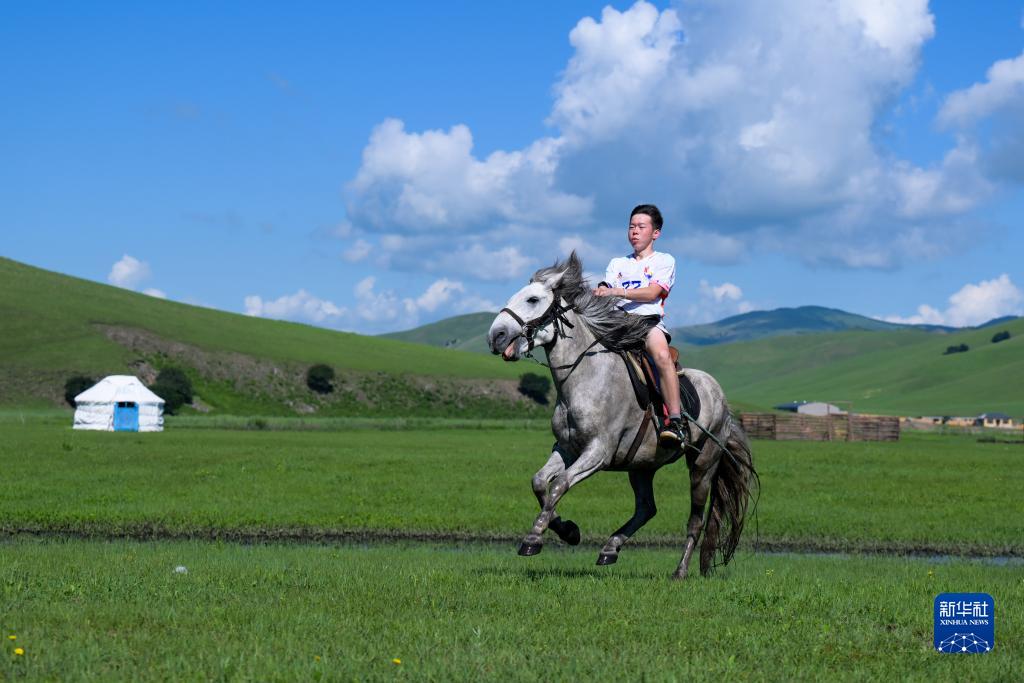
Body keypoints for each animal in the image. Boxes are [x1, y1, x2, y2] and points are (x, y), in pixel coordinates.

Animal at [487, 253, 753, 581]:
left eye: (533, 299)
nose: (495, 336)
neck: (584, 376)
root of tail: (721, 398)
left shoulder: (598, 452)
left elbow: (560, 484)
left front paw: (534, 539)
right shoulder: (566, 448)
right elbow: (539, 483)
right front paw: (568, 531)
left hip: (703, 464)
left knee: (696, 519)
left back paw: (679, 571)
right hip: (641, 466)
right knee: (647, 508)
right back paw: (610, 549)